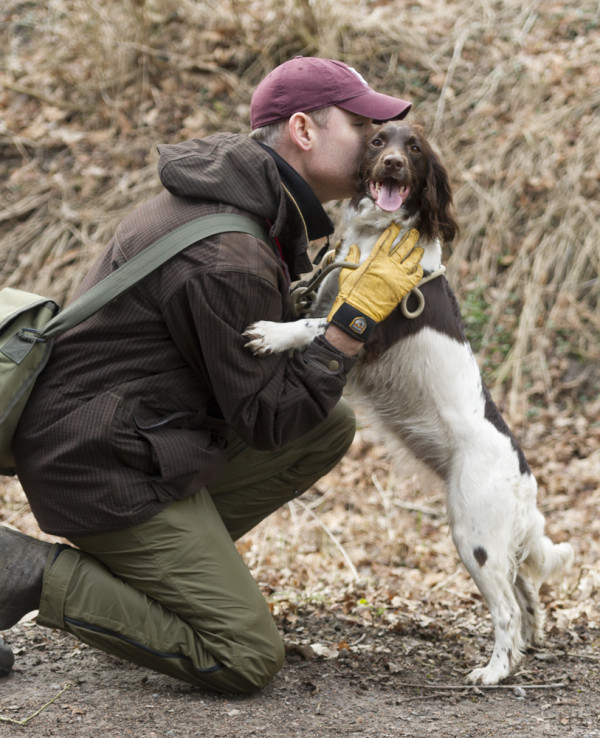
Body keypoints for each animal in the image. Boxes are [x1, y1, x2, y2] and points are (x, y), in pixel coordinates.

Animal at [244, 122, 572, 684]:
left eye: (414, 149)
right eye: (378, 142)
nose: (394, 164)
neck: (378, 237)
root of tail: (525, 483)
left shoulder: (362, 333)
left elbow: (313, 324)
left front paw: (271, 334)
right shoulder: (324, 291)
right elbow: (305, 302)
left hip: (473, 534)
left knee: (506, 608)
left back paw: (495, 671)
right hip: (498, 539)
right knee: (525, 591)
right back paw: (526, 646)